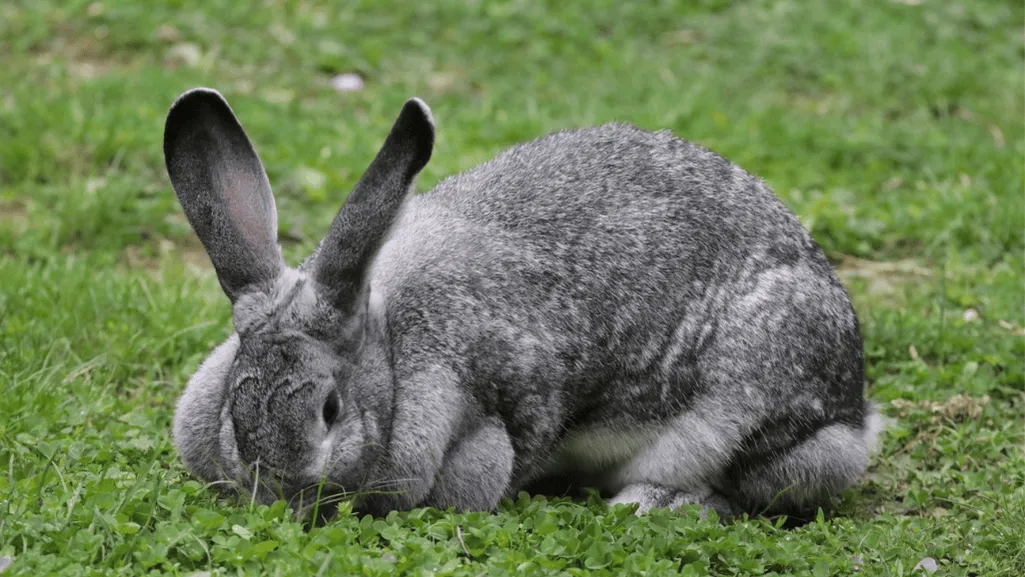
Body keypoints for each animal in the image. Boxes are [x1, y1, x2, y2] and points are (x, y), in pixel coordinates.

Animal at [165, 87, 881, 520]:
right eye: (233, 407)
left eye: (330, 410)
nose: (284, 494)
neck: (388, 346)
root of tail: (855, 412)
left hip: (752, 412)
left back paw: (650, 505)